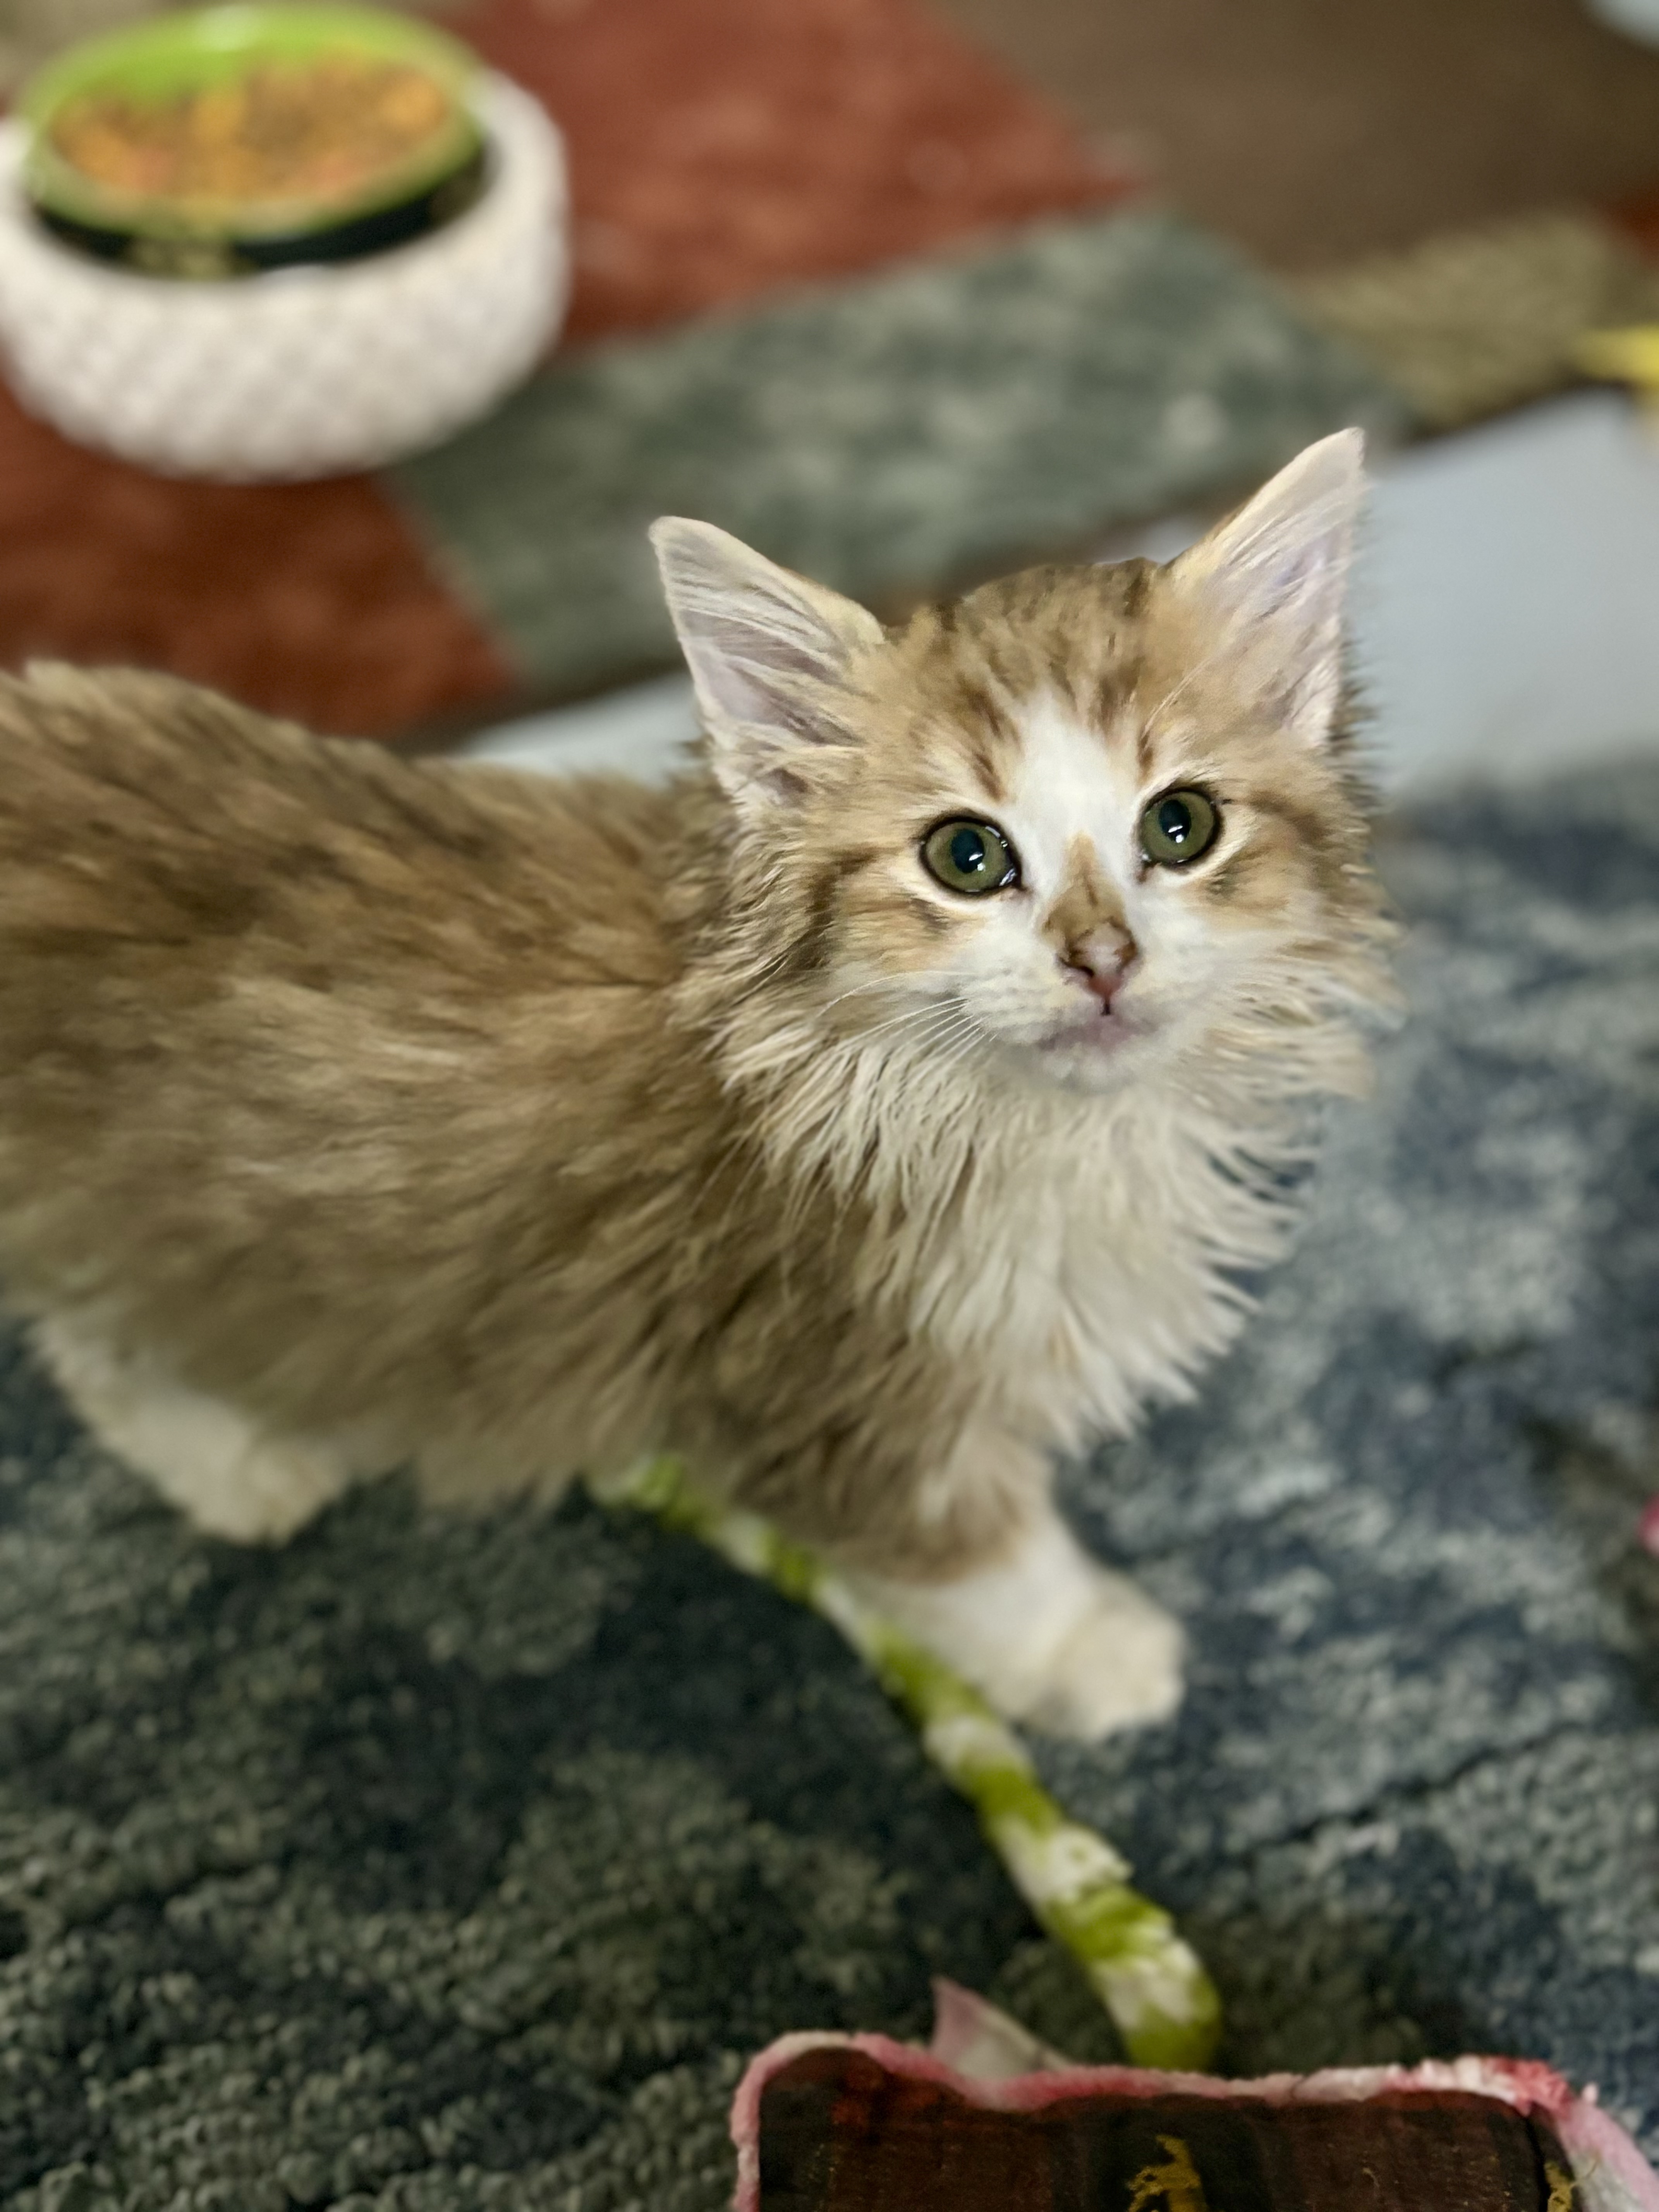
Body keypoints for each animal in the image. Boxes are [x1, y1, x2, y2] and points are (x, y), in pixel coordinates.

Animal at [0, 436, 1389, 1743]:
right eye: (965, 855)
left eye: (1179, 828)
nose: (1102, 960)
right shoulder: (839, 1399)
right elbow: (980, 1564)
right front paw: (1089, 1656)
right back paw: (231, 1466)